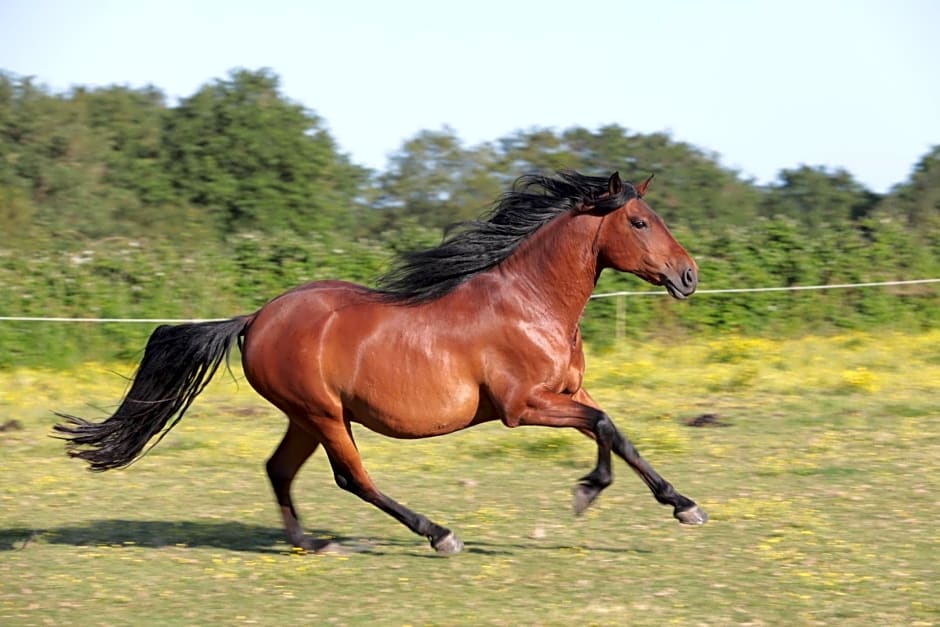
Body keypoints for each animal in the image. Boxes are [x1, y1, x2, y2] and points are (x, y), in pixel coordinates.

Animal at [55, 170, 704, 556]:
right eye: (639, 222)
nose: (689, 276)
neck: (531, 302)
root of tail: (255, 318)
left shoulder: (569, 393)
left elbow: (616, 431)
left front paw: (677, 504)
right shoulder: (523, 406)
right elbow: (604, 427)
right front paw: (593, 492)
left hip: (305, 417)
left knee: (278, 470)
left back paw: (311, 544)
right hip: (324, 415)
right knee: (353, 478)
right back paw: (438, 534)